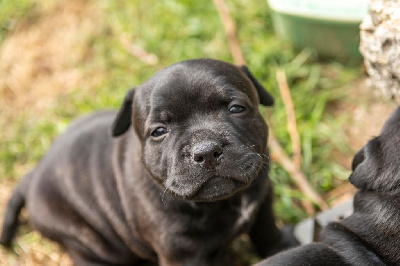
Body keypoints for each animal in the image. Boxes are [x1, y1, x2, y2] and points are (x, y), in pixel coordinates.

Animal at [0, 59, 296, 264]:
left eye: (236, 108)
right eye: (159, 132)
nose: (206, 150)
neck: (221, 203)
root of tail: (32, 176)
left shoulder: (261, 198)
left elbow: (266, 229)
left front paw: (282, 247)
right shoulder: (181, 254)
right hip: (82, 240)